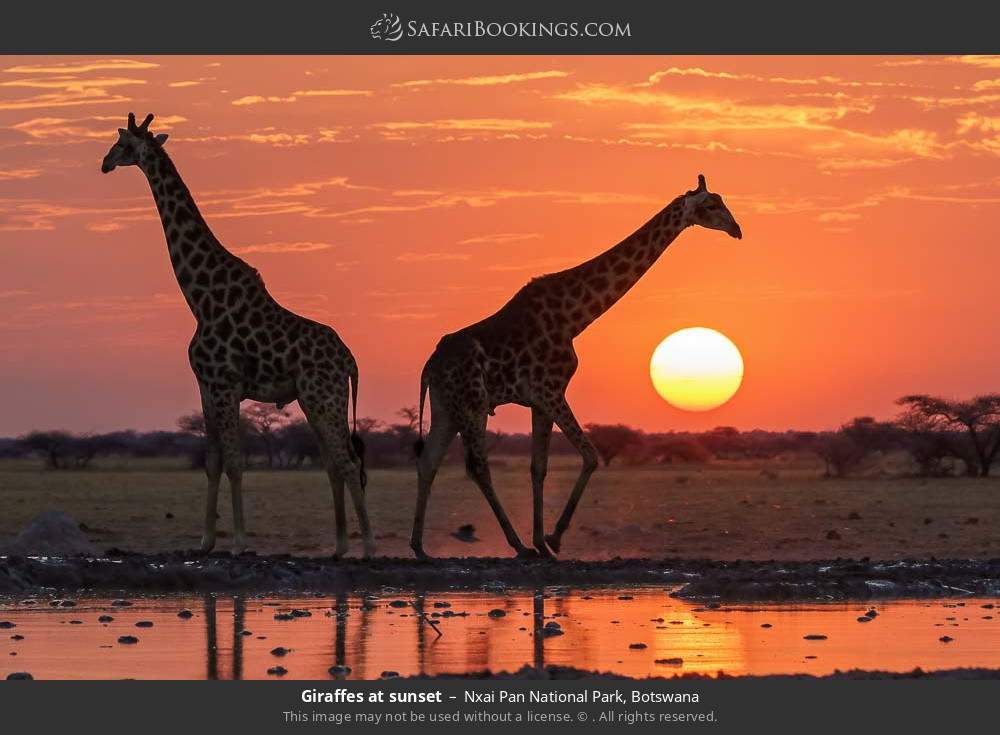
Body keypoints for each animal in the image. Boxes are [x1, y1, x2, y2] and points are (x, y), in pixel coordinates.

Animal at [101, 112, 376, 556]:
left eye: (124, 144)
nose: (105, 163)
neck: (200, 297)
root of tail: (350, 360)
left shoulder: (226, 383)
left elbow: (234, 462)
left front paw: (240, 543)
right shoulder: (205, 385)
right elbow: (212, 461)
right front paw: (205, 541)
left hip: (325, 396)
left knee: (349, 462)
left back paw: (367, 547)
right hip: (312, 399)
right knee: (335, 463)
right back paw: (338, 548)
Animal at [406, 175, 744, 560]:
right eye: (711, 205)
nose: (736, 229)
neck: (574, 318)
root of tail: (429, 366)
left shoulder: (539, 401)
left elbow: (539, 468)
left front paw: (543, 541)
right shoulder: (551, 390)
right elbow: (591, 455)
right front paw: (552, 539)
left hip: (446, 407)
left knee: (428, 461)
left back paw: (419, 547)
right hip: (472, 404)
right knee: (477, 467)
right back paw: (516, 546)